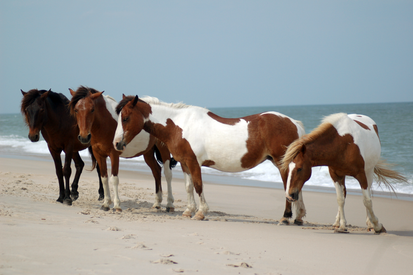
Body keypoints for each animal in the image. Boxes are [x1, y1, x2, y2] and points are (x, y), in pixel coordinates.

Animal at [112, 96, 306, 223]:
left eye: (126, 118)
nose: (116, 143)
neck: (180, 125)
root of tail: (293, 122)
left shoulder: (193, 162)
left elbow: (198, 186)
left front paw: (200, 212)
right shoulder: (185, 163)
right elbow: (189, 187)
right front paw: (188, 211)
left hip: (281, 162)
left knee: (289, 185)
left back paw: (286, 217)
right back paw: (299, 217)